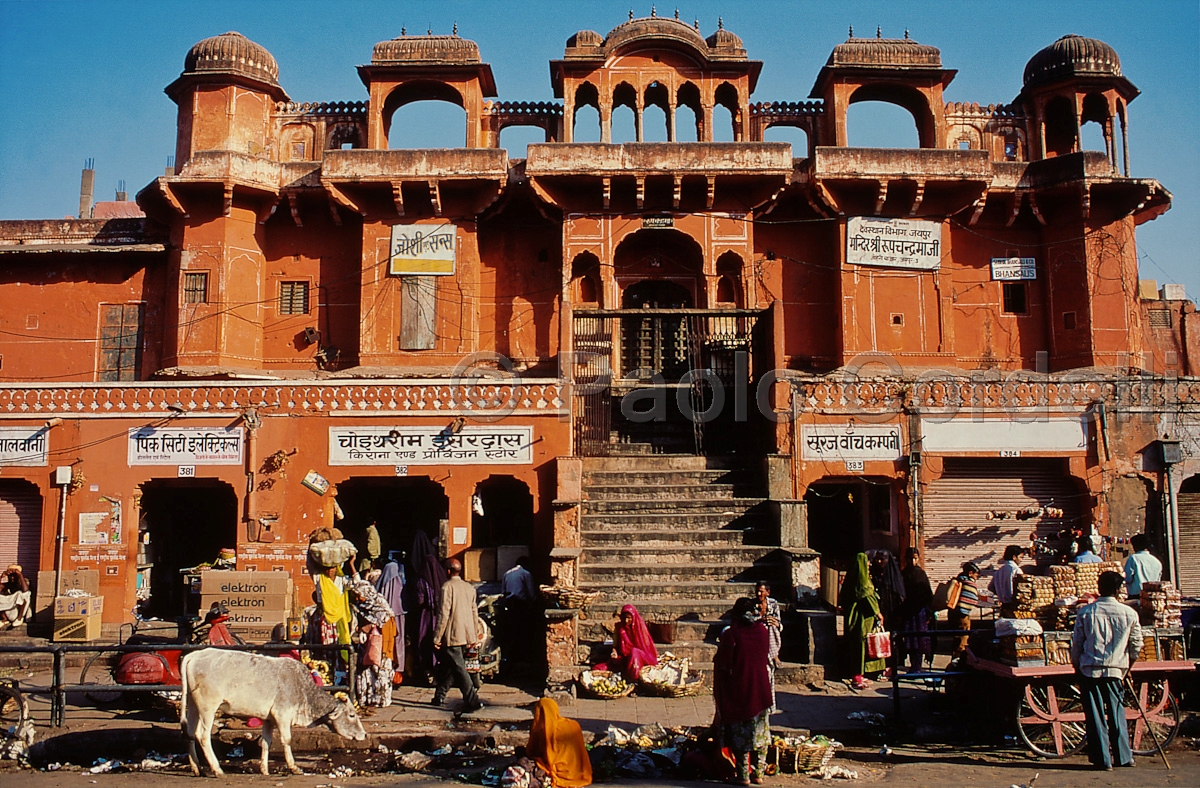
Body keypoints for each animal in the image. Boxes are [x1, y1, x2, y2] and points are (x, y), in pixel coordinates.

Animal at [177, 647, 364, 772]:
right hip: (208, 707)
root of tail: (194, 655)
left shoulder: (269, 719)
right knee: (203, 736)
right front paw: (294, 767)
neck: (302, 691)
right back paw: (217, 769)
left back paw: (197, 768)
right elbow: (286, 740)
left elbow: (266, 742)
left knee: (190, 733)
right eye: (351, 715)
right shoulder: (282, 715)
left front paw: (264, 769)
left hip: (193, 705)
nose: (364, 734)